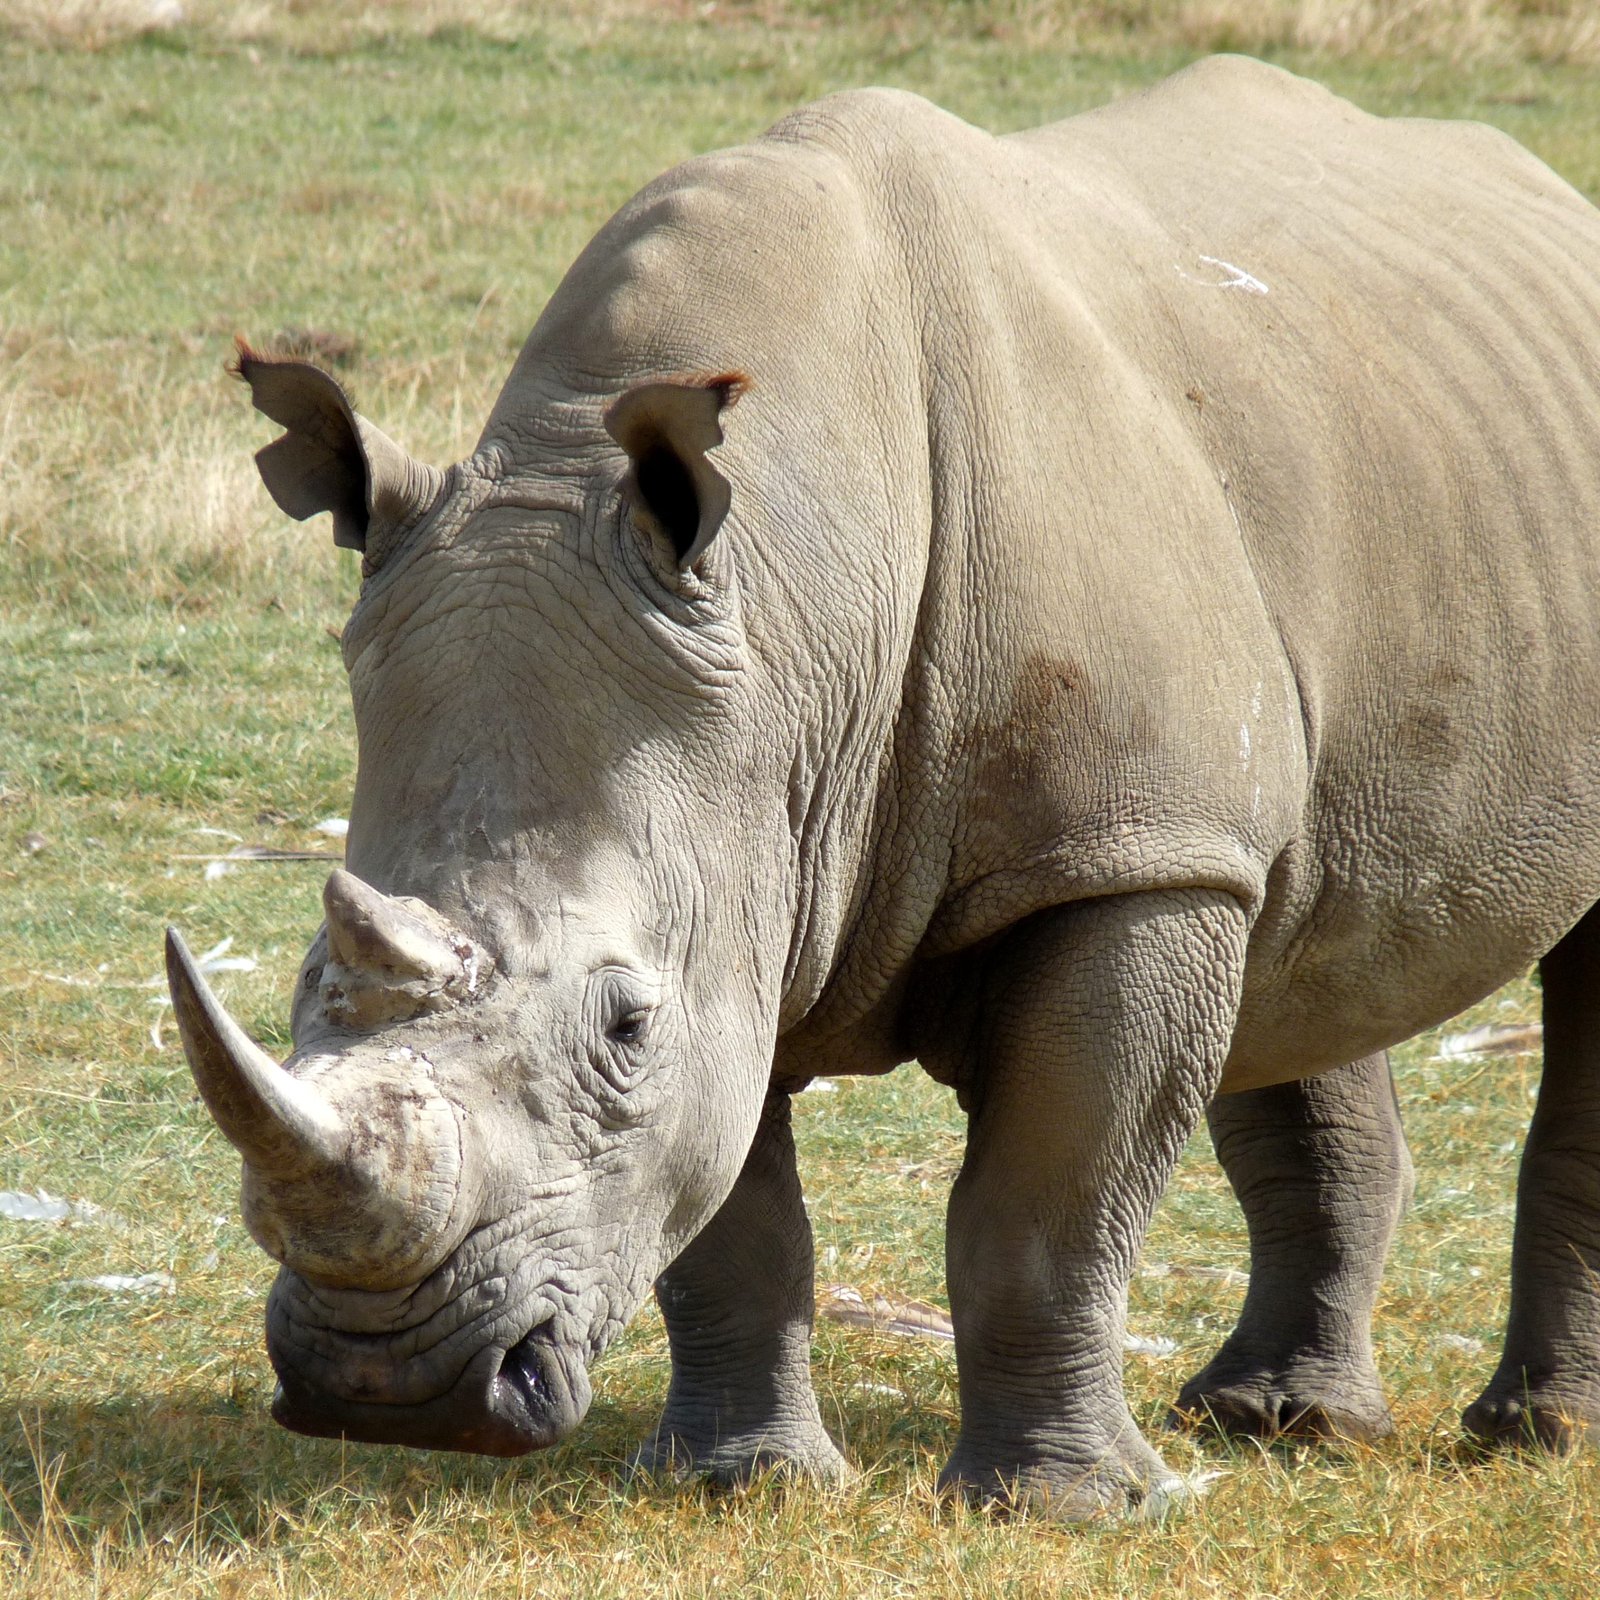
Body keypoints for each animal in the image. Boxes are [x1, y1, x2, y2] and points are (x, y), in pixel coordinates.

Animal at [168, 56, 1600, 1520]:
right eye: (307, 984)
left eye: (624, 1024)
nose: (390, 1387)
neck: (790, 606)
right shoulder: (747, 850)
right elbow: (732, 1214)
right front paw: (744, 1486)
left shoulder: (1121, 848)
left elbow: (1045, 1205)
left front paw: (1056, 1511)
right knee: (1296, 930)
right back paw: (1281, 1422)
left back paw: (1532, 1436)